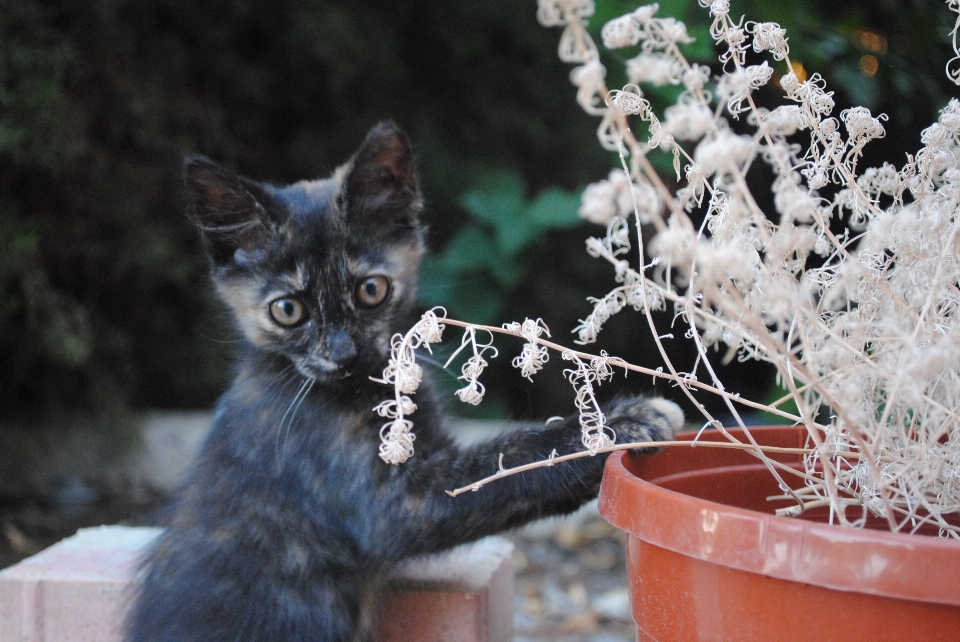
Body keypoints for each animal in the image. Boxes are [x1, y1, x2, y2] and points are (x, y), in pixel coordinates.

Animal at [125, 124, 684, 640]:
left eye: (371, 290)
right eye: (288, 310)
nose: (344, 353)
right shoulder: (394, 503)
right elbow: (509, 464)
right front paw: (625, 422)